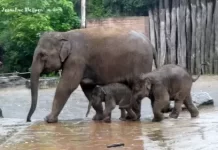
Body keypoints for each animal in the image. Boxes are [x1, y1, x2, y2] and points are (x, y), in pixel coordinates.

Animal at [26, 27, 158, 123]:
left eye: (42, 55)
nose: (29, 120)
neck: (64, 35)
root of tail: (151, 44)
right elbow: (87, 88)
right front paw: (98, 118)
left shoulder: (76, 60)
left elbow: (67, 86)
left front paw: (48, 119)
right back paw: (128, 118)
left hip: (140, 63)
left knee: (137, 86)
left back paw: (133, 118)